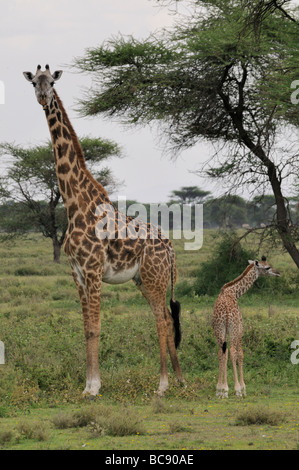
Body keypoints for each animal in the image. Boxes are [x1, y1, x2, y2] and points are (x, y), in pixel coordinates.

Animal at [23, 65, 184, 396]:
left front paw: (95, 387)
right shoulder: (76, 272)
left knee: (162, 320)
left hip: (155, 277)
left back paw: (162, 384)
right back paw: (178, 379)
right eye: (34, 82)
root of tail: (171, 246)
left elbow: (96, 327)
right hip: (143, 279)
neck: (74, 204)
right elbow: (86, 328)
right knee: (162, 317)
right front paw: (88, 384)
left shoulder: (94, 269)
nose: (43, 97)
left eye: (52, 81)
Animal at [213, 258, 282, 396]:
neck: (234, 292)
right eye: (267, 267)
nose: (278, 273)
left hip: (219, 330)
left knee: (221, 352)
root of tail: (225, 311)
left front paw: (222, 389)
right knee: (233, 351)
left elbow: (224, 353)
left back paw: (220, 389)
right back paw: (236, 389)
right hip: (234, 329)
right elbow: (240, 353)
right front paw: (242, 387)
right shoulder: (240, 329)